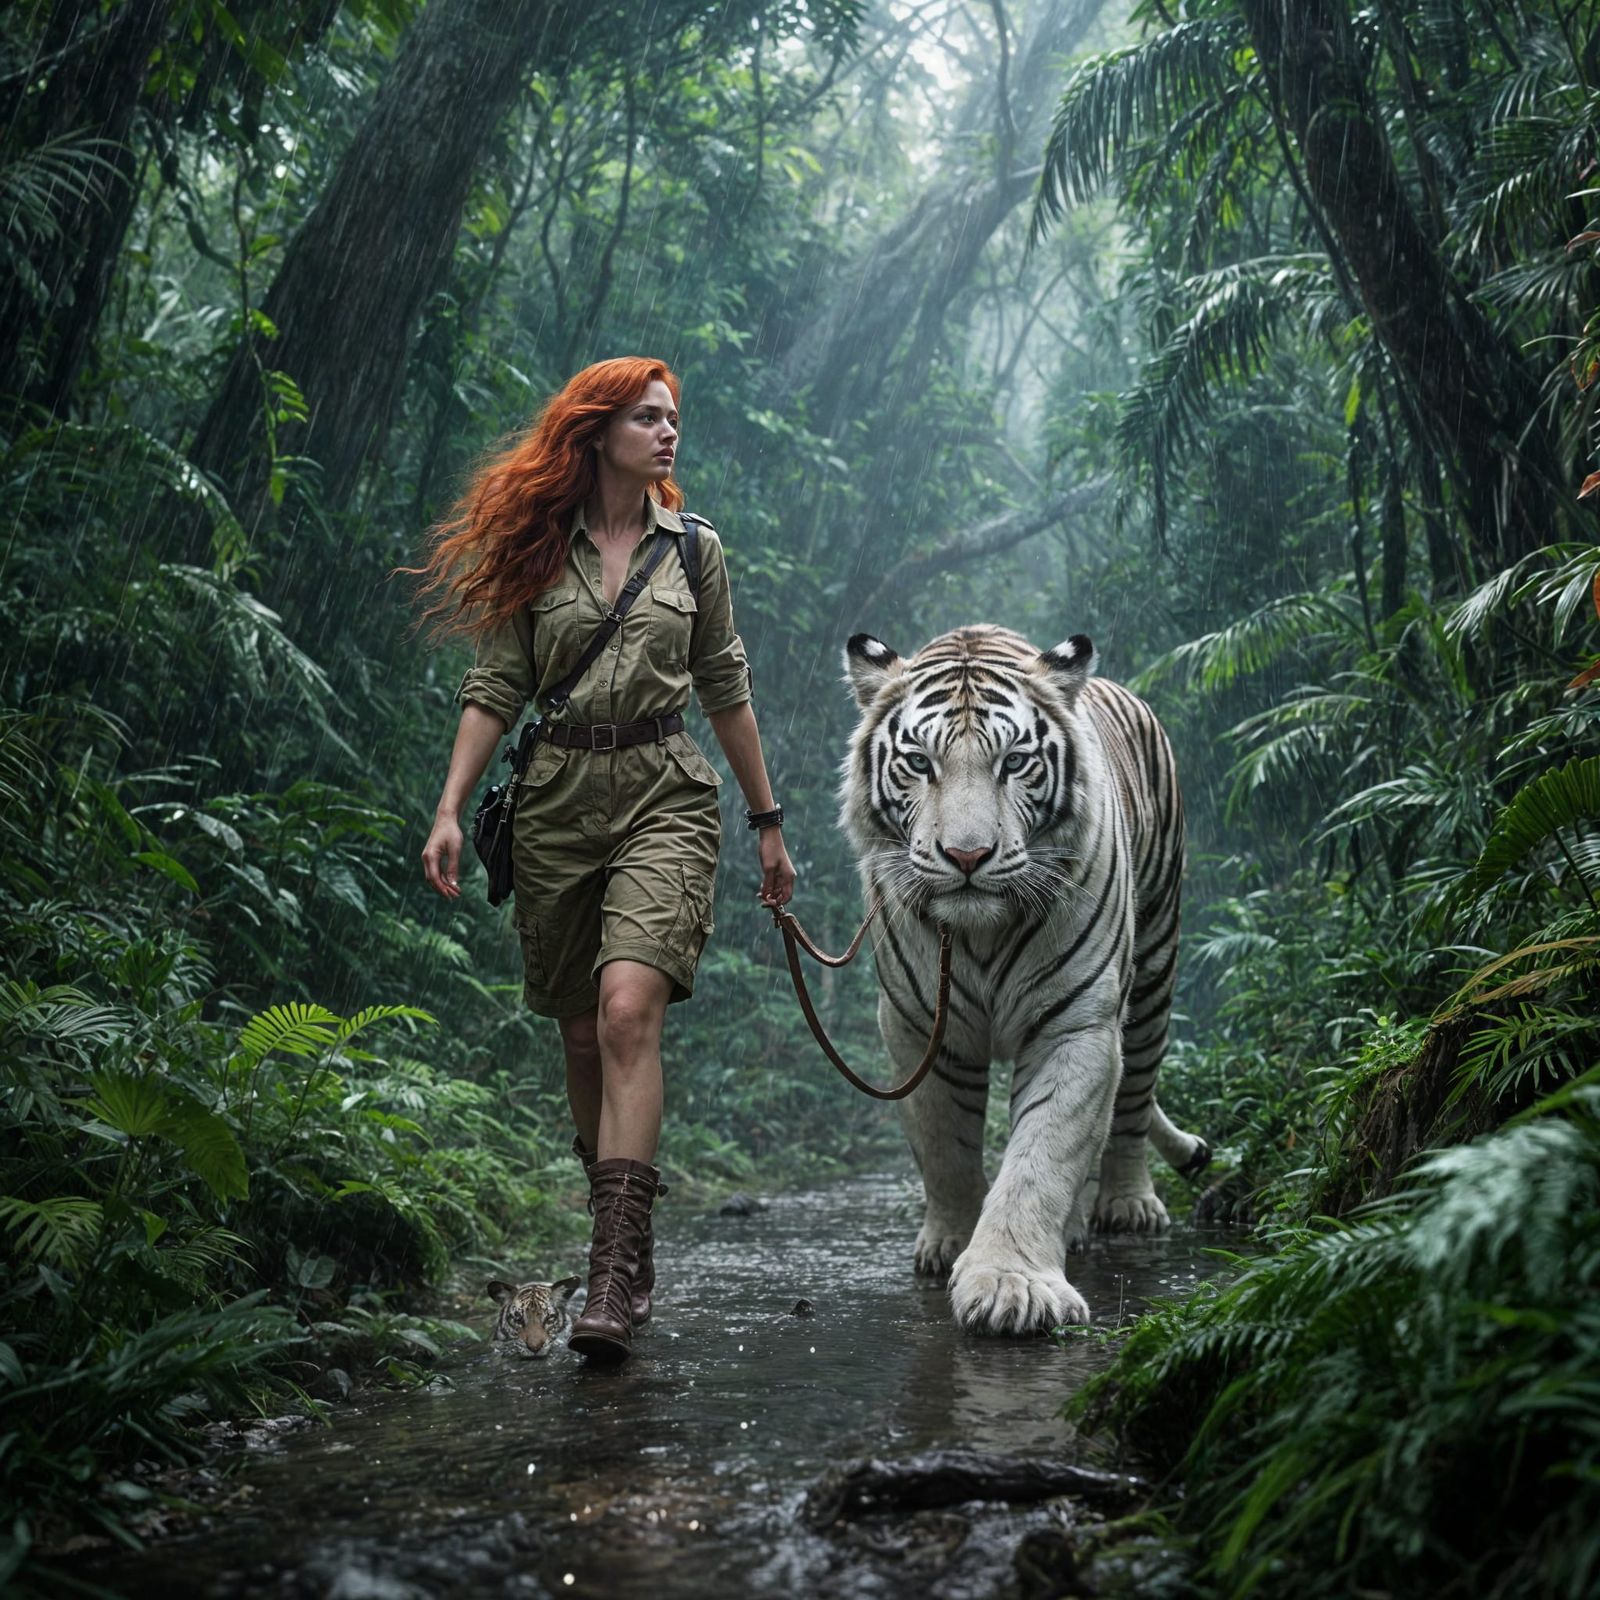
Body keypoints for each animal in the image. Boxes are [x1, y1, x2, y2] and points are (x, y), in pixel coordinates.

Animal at [840, 624, 1210, 1335]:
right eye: (920, 763)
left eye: (1013, 762)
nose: (966, 856)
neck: (980, 933)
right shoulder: (918, 1028)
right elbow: (946, 1146)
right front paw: (951, 1244)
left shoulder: (1077, 1024)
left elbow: (1043, 1154)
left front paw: (1012, 1286)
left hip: (1154, 968)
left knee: (1130, 1101)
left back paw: (1126, 1207)